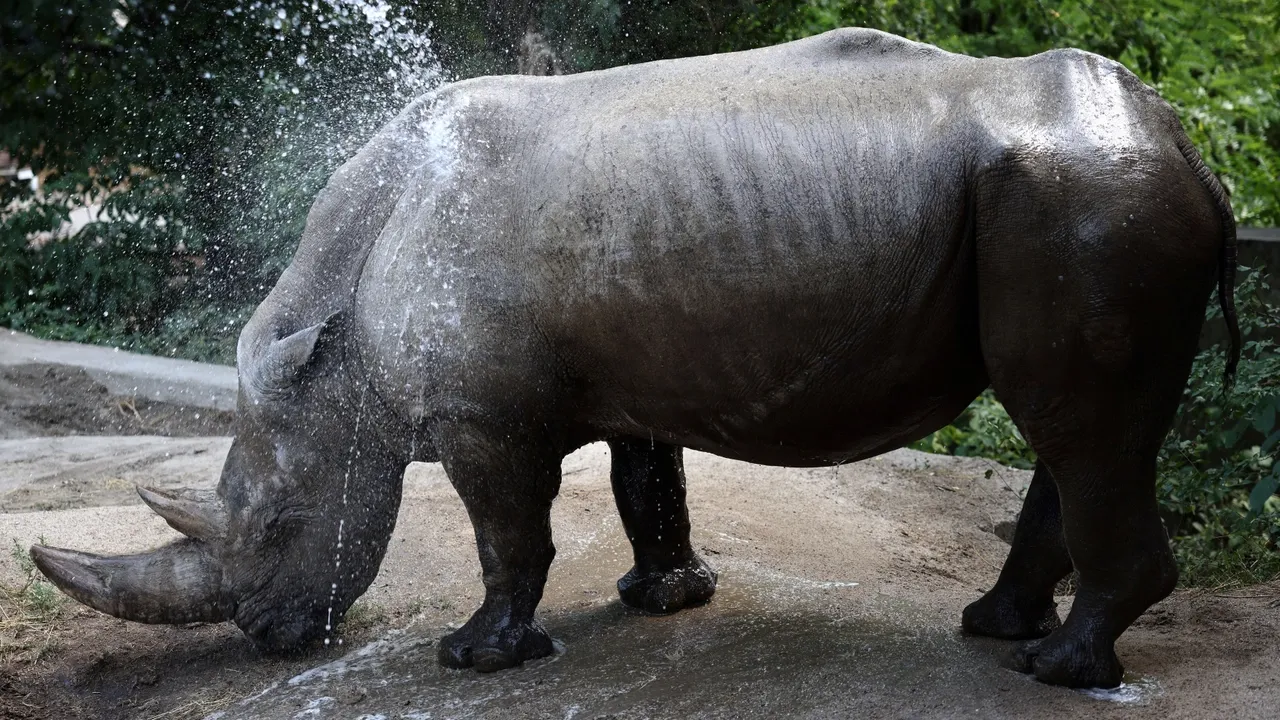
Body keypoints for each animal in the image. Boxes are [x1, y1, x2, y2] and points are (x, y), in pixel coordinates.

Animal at [32, 28, 1238, 689]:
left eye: (283, 527)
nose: (270, 639)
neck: (335, 343)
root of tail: (1190, 147)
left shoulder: (482, 419)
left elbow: (506, 531)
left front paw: (476, 657)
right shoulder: (633, 374)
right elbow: (644, 484)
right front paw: (665, 602)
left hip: (1086, 203)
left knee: (1075, 425)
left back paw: (1057, 671)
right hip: (1075, 202)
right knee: (1073, 430)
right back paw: (998, 631)